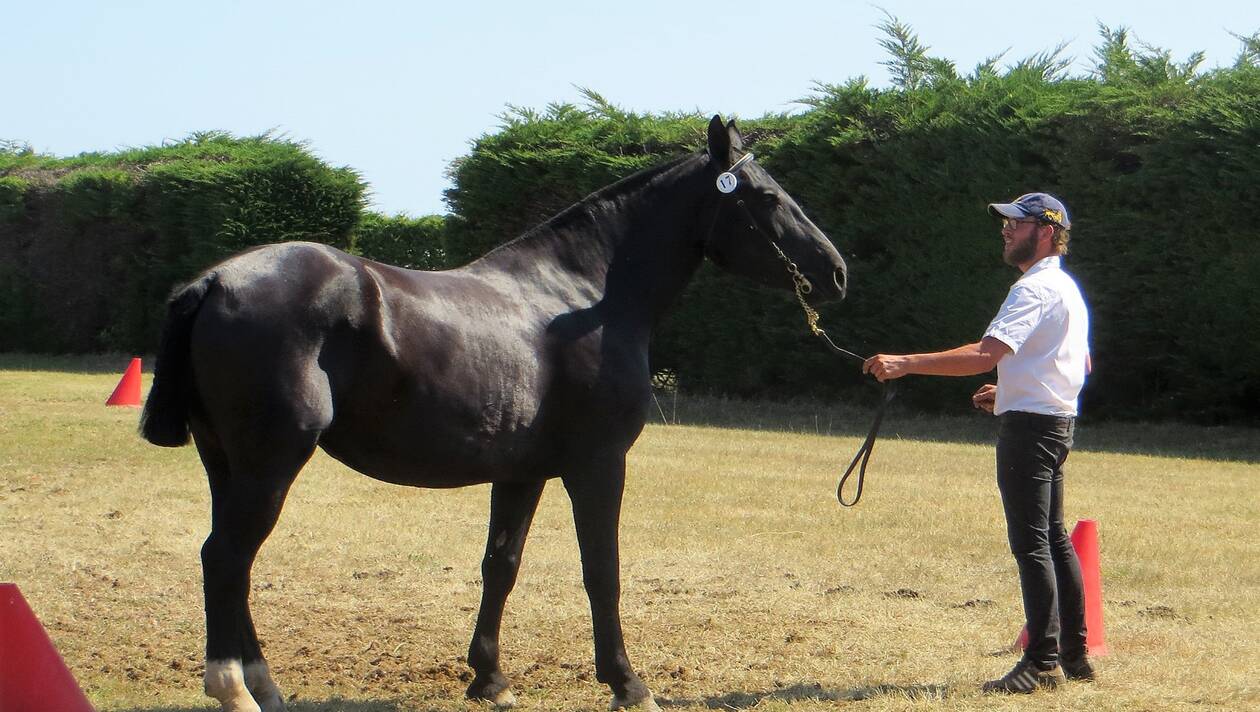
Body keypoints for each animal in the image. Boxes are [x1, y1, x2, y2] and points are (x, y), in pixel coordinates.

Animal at [140, 117, 846, 710]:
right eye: (766, 197)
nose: (837, 273)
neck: (583, 296)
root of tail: (214, 283)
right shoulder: (598, 465)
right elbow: (602, 571)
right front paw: (627, 683)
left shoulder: (520, 473)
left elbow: (500, 566)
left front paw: (489, 678)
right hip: (270, 463)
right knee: (225, 558)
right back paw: (235, 690)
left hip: (226, 465)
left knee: (232, 563)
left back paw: (264, 685)